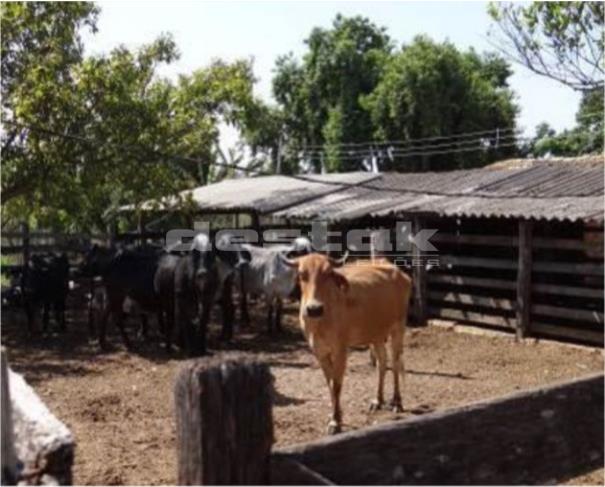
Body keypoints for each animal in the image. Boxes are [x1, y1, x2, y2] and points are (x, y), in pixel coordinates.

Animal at [282, 254, 412, 432]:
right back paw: (377, 400)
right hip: (376, 334)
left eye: (328, 274)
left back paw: (397, 402)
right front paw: (336, 415)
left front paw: (335, 422)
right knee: (382, 362)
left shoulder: (341, 349)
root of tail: (399, 273)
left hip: (398, 328)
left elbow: (337, 384)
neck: (321, 321)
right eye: (302, 274)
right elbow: (330, 384)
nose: (314, 309)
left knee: (396, 363)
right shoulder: (319, 351)